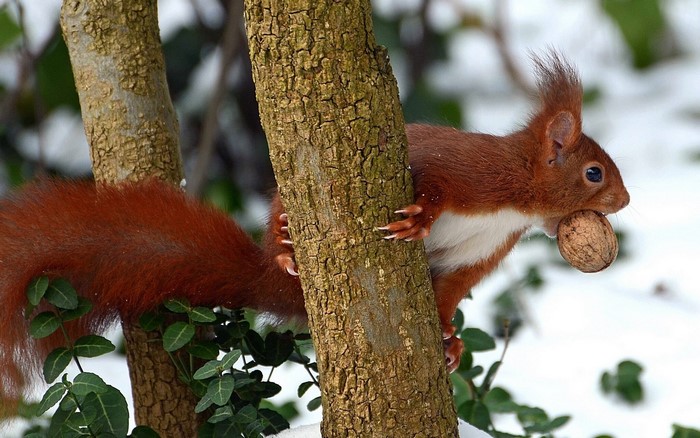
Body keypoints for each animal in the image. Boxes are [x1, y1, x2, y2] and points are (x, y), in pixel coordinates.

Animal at [0, 52, 629, 406]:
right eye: (594, 172)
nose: (625, 200)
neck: (517, 205)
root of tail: (280, 286)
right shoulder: (472, 174)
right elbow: (431, 181)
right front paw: (420, 217)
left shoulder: (483, 252)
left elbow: (449, 294)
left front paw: (450, 341)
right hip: (287, 207)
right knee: (279, 221)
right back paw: (281, 245)